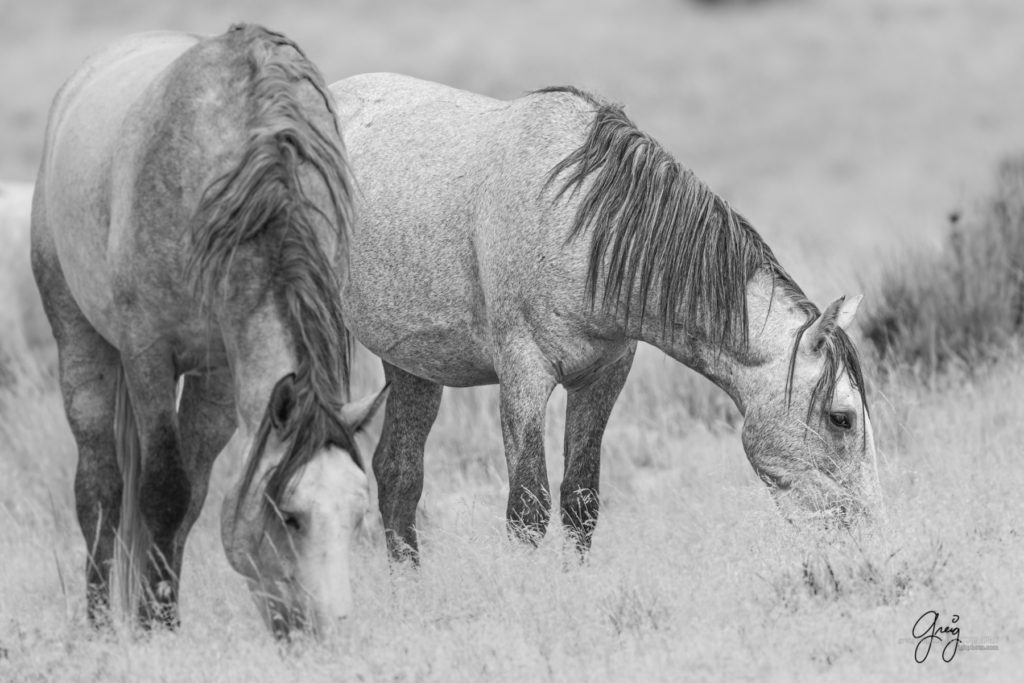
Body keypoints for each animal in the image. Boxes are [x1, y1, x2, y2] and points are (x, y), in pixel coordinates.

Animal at [32, 24, 385, 638]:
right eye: (289, 516)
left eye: (359, 514)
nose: (326, 631)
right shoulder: (148, 355)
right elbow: (163, 492)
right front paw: (157, 629)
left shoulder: (223, 373)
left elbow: (191, 498)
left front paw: (158, 613)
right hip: (80, 342)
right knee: (99, 489)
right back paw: (100, 626)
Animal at [329, 74, 880, 565]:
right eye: (842, 418)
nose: (865, 540)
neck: (581, 225)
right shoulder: (523, 377)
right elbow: (527, 511)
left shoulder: (603, 376)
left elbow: (581, 502)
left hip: (412, 366)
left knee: (398, 477)